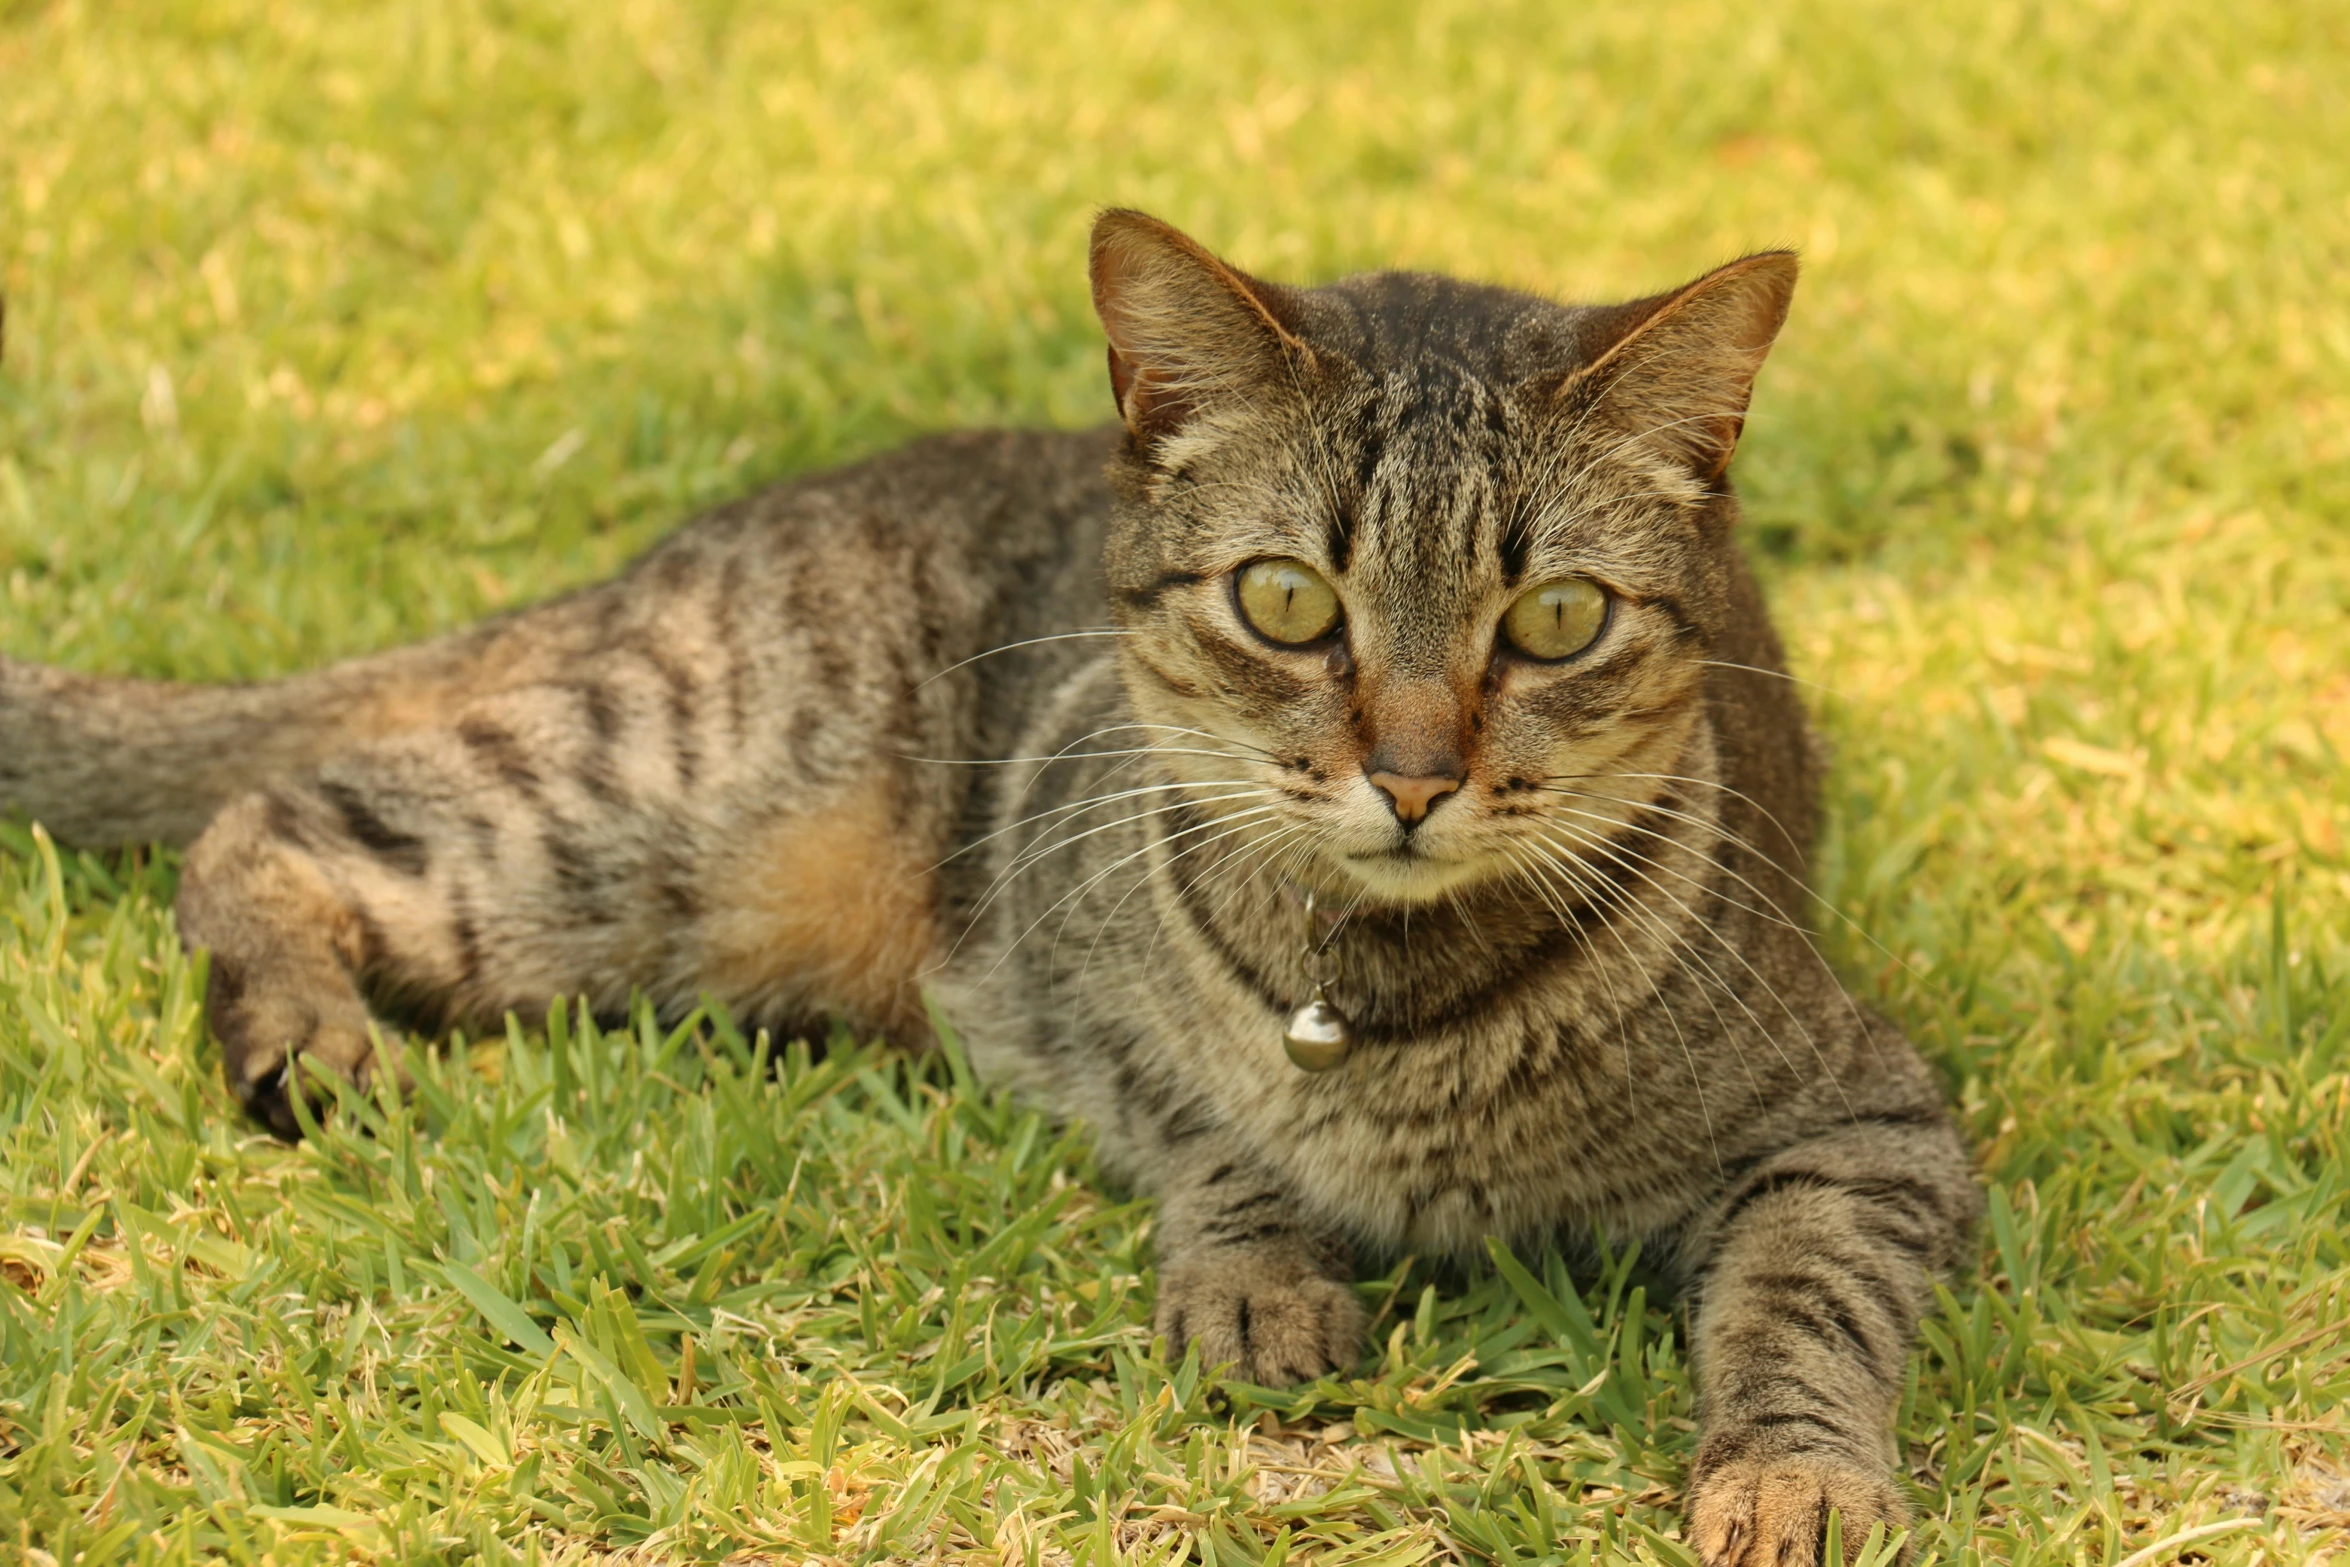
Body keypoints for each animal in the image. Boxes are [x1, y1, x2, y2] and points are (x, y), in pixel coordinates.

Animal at [4, 211, 1983, 1567]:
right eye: (1288, 601)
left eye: (1556, 618)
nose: (1414, 776)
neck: (1376, 1000)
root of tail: (691, 544)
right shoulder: (1053, 985)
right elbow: (1209, 1130)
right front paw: (1255, 1262)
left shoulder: (1869, 1120)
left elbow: (1803, 1300)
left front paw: (1791, 1470)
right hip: (630, 811)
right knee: (266, 808)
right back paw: (302, 1031)